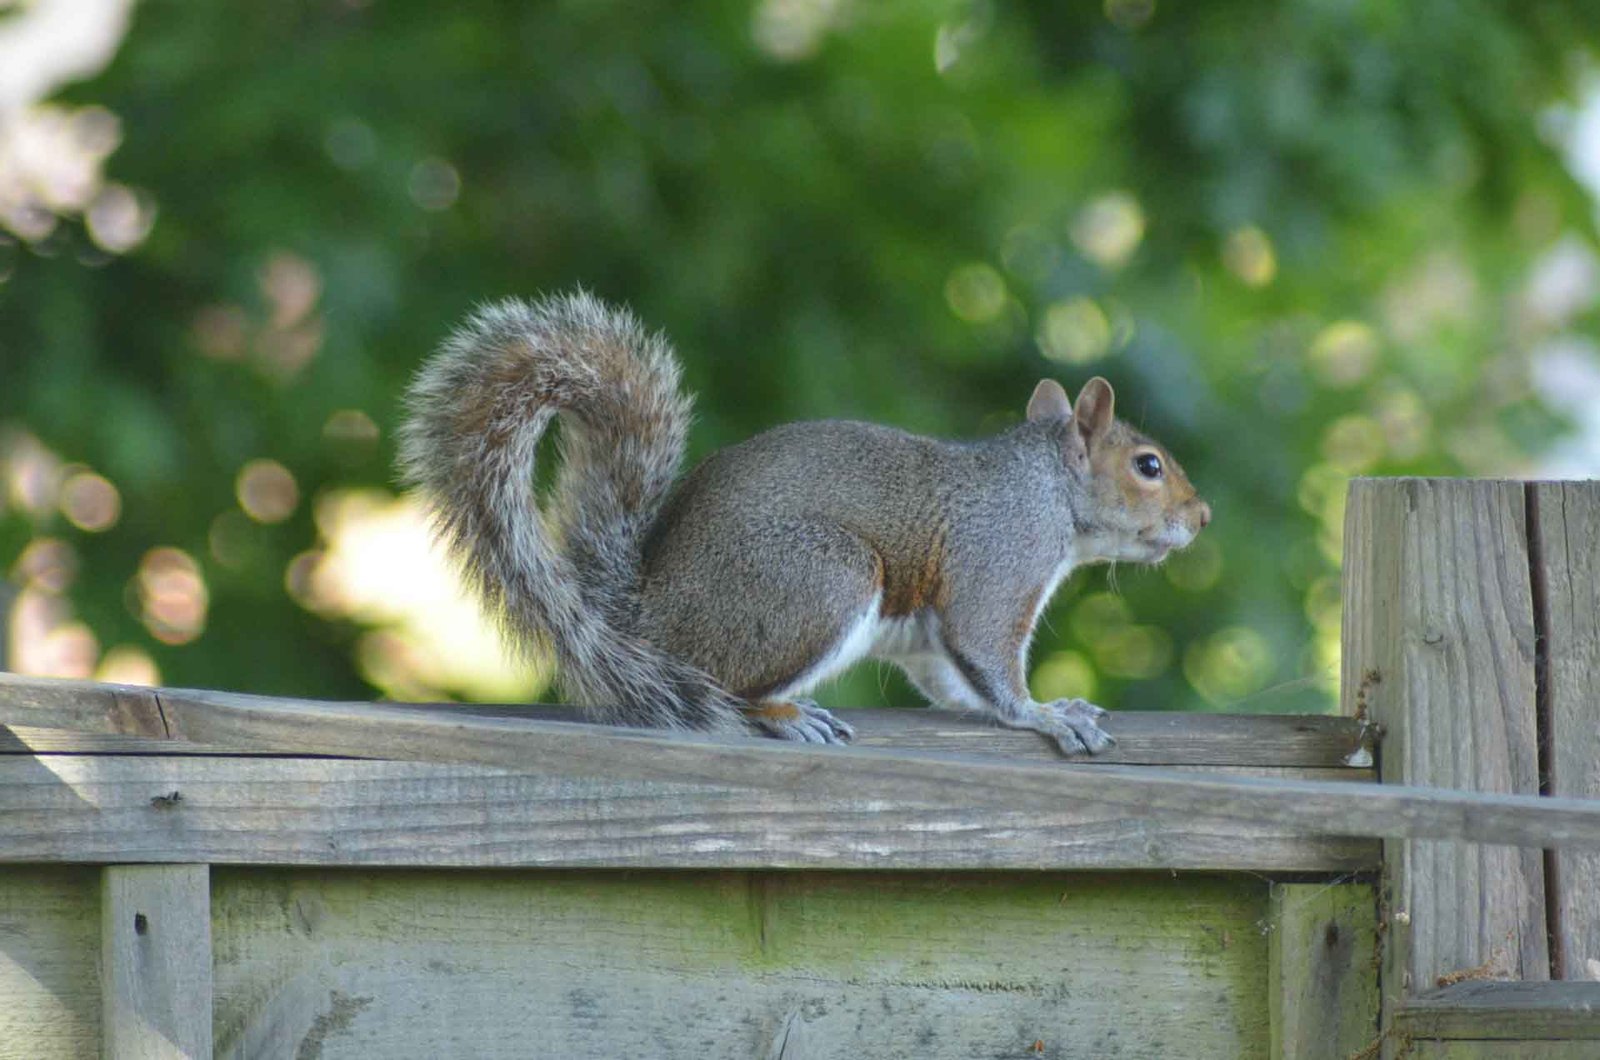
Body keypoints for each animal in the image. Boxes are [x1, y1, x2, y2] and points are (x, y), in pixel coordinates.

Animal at [398, 291, 1209, 755]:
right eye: (1147, 466)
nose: (1200, 516)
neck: (1047, 489)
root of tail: (645, 614)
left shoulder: (934, 637)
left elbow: (952, 681)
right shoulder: (1000, 560)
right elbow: (988, 654)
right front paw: (1045, 716)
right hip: (821, 577)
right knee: (729, 694)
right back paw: (787, 716)